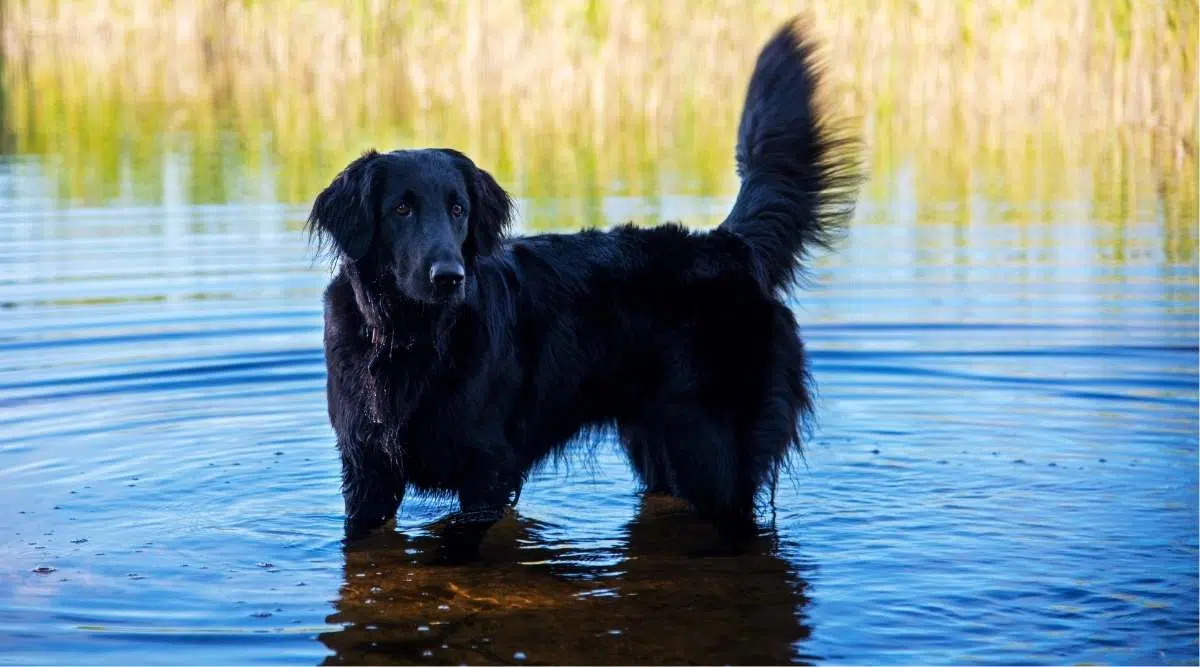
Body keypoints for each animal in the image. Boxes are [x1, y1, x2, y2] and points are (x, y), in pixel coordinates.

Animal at [304, 18, 859, 554]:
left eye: (458, 209)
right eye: (401, 209)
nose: (449, 277)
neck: (410, 337)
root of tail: (730, 244)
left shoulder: (488, 471)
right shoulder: (367, 471)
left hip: (714, 452)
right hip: (660, 445)